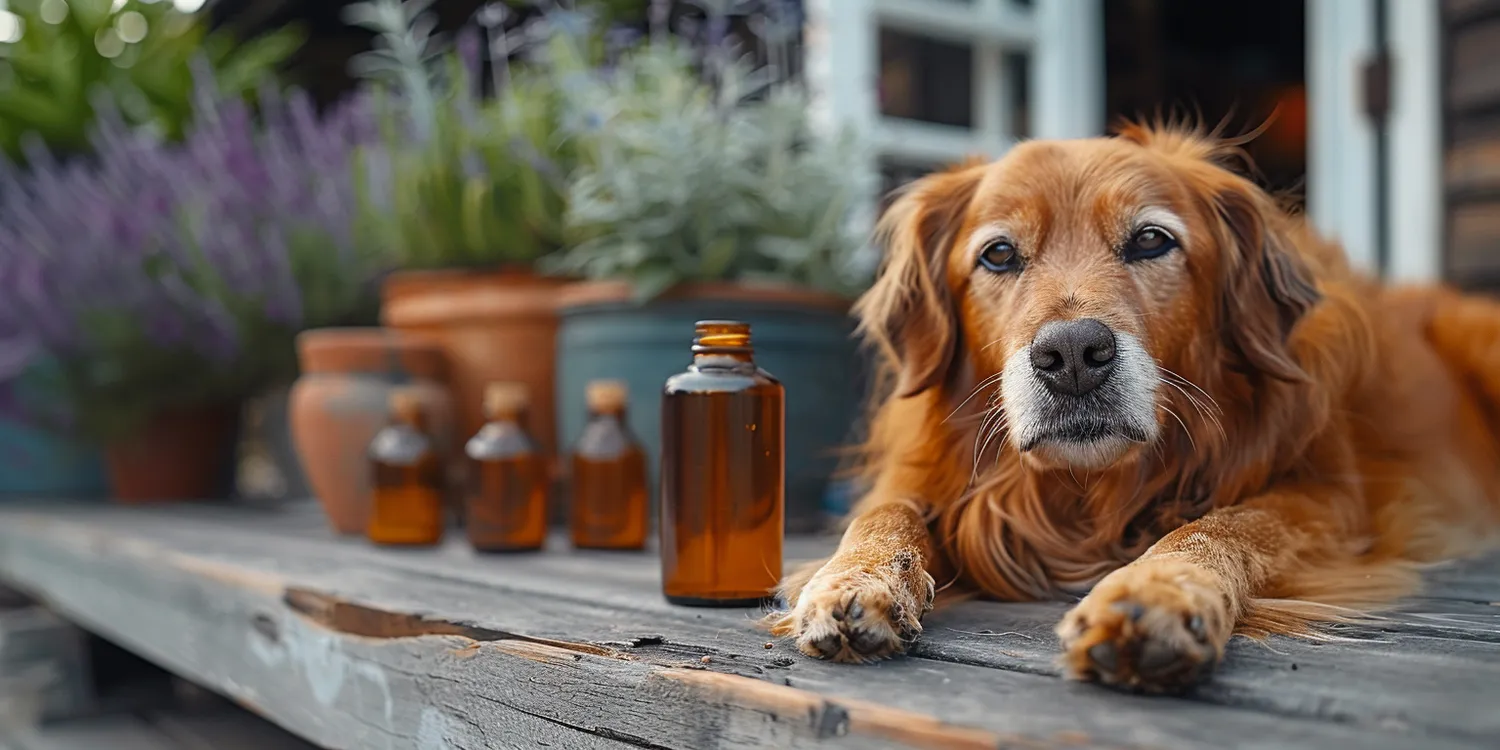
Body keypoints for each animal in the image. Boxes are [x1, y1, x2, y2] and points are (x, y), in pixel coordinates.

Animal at [768, 121, 1500, 690]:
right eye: (999, 254)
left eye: (1151, 240)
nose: (1071, 354)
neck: (1088, 493)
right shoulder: (922, 480)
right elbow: (883, 515)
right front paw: (853, 579)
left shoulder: (1331, 499)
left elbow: (1224, 524)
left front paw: (1157, 592)